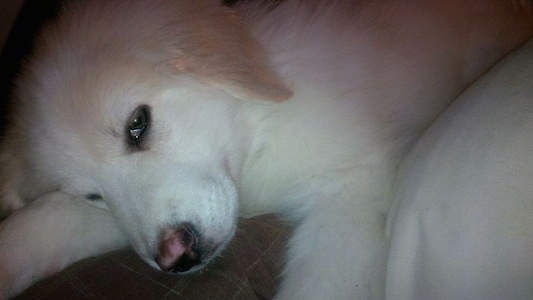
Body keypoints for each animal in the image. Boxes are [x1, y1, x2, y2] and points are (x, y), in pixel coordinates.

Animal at [1, 0, 532, 298]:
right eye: (93, 195)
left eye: (138, 125)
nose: (177, 258)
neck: (260, 134)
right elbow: (54, 218)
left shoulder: (356, 193)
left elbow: (324, 284)